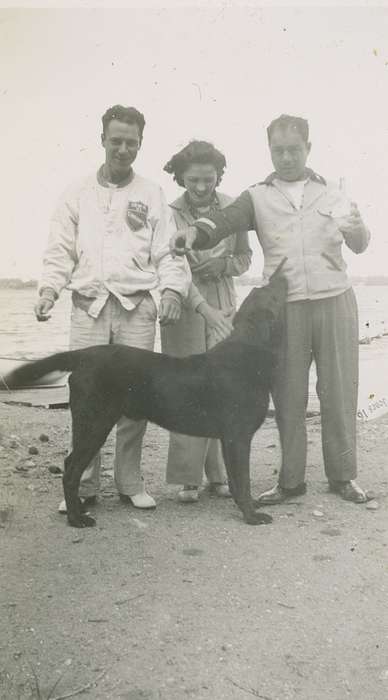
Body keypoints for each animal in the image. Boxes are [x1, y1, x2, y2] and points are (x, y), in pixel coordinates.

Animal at [3, 270, 288, 528]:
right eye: (271, 292)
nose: (281, 273)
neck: (249, 351)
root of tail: (85, 355)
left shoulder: (230, 439)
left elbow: (237, 481)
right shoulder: (237, 437)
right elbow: (243, 480)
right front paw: (252, 516)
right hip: (94, 424)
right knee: (71, 468)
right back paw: (76, 519)